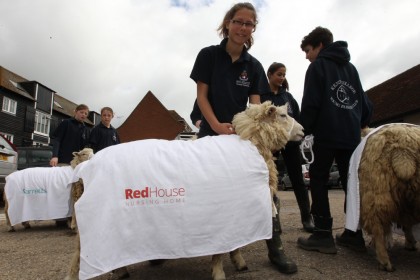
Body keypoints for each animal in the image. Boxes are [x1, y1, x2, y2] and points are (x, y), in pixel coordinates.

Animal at [65, 102, 302, 280]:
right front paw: (219, 271)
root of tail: (86, 166)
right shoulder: (223, 212)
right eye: (282, 115)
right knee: (78, 253)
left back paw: (121, 270)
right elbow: (221, 247)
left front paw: (238, 261)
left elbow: (233, 243)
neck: (252, 142)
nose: (302, 131)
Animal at [356, 124, 420, 272]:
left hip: (376, 189)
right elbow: (407, 222)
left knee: (378, 227)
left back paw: (384, 259)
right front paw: (410, 243)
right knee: (378, 226)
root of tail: (403, 152)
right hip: (380, 190)